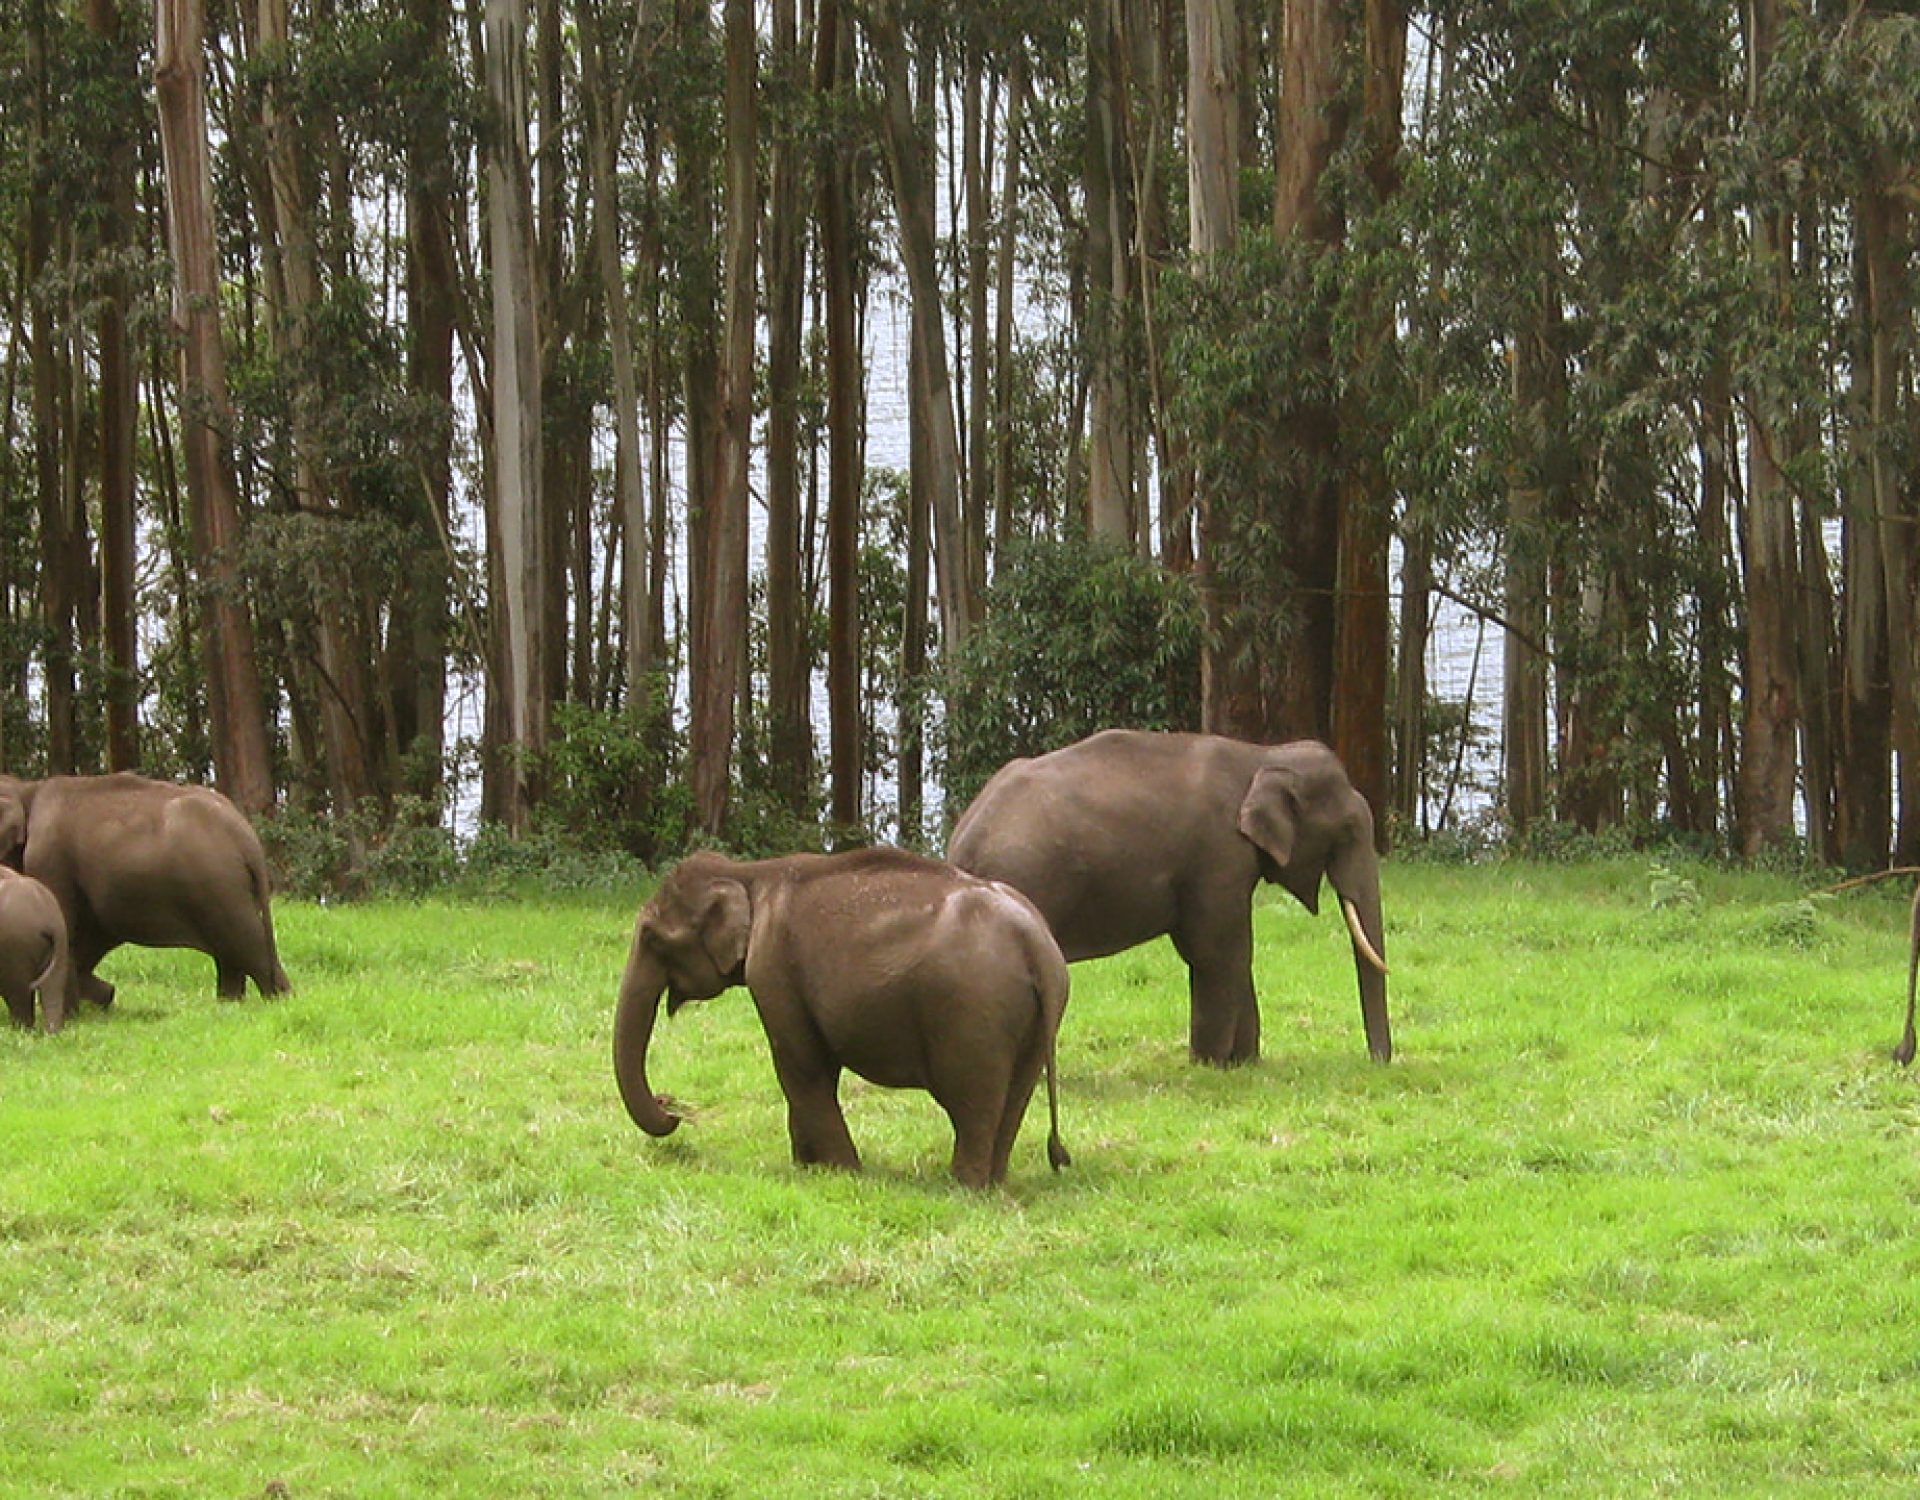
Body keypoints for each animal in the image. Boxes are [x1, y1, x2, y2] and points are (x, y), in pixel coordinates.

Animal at [0, 772, 288, 1006]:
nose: (110, 993)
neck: (27, 789)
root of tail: (245, 834)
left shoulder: (49, 858)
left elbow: (68, 927)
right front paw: (104, 996)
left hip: (218, 883)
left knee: (248, 946)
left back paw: (277, 1001)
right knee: (231, 953)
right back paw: (229, 1005)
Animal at [0, 864, 70, 1029]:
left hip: (15, 944)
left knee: (17, 990)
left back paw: (19, 1029)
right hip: (61, 943)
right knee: (53, 984)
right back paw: (53, 1031)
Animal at [614, 848, 1075, 1190]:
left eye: (652, 937)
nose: (670, 1106)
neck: (748, 874)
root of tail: (1034, 940)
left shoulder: (772, 968)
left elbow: (800, 1066)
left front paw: (841, 1173)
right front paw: (809, 1167)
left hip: (971, 1009)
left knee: (972, 1101)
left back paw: (965, 1187)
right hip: (1032, 1021)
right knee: (1013, 1097)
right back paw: (995, 1183)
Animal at [948, 725, 1390, 1067]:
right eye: (1347, 831)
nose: (1379, 1061)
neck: (1259, 755)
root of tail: (961, 843)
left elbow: (1226, 951)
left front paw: (1244, 1064)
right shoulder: (1217, 857)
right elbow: (1219, 950)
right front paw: (1210, 1065)